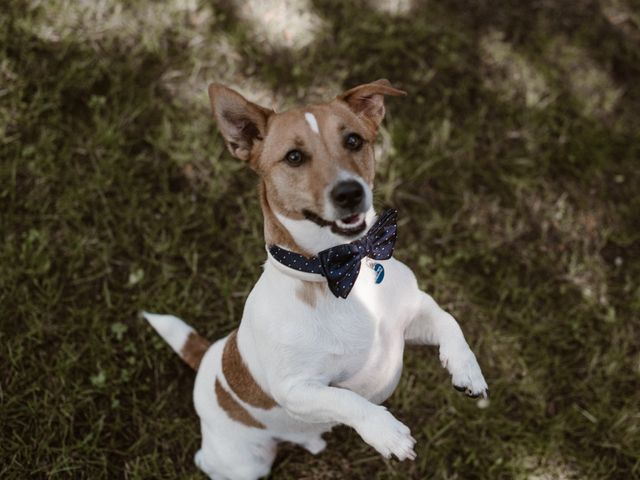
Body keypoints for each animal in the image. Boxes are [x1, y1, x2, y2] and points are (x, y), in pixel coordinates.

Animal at [144, 79, 484, 480]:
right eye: (294, 157)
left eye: (353, 140)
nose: (350, 192)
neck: (343, 268)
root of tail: (208, 356)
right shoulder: (297, 389)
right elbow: (345, 398)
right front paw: (385, 432)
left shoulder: (414, 316)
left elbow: (450, 322)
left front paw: (467, 370)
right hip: (246, 462)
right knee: (211, 462)